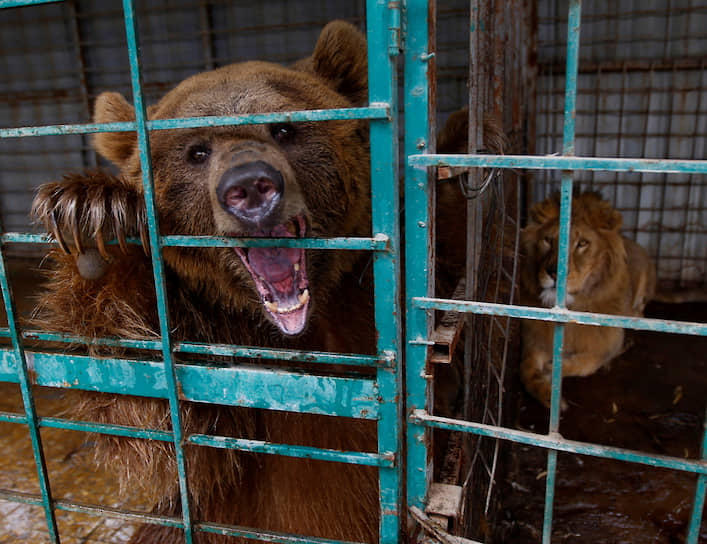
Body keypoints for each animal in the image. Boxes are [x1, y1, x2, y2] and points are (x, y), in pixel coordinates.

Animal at [31, 21, 382, 544]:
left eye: (285, 128)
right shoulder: (215, 352)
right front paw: (96, 219)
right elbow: (150, 412)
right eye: (197, 150)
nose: (251, 185)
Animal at [520, 191, 660, 408]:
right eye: (548, 240)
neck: (572, 306)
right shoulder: (536, 340)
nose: (554, 272)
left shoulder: (607, 345)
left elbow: (586, 363)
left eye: (582, 244)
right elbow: (525, 371)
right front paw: (548, 394)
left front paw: (553, 369)